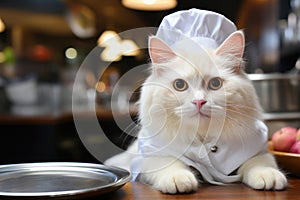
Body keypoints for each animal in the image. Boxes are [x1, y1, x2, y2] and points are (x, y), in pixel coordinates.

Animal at [104, 30, 288, 193]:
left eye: (215, 84)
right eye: (179, 85)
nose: (199, 101)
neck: (202, 137)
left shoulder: (256, 148)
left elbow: (260, 163)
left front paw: (269, 176)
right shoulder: (153, 155)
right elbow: (170, 165)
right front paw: (179, 180)